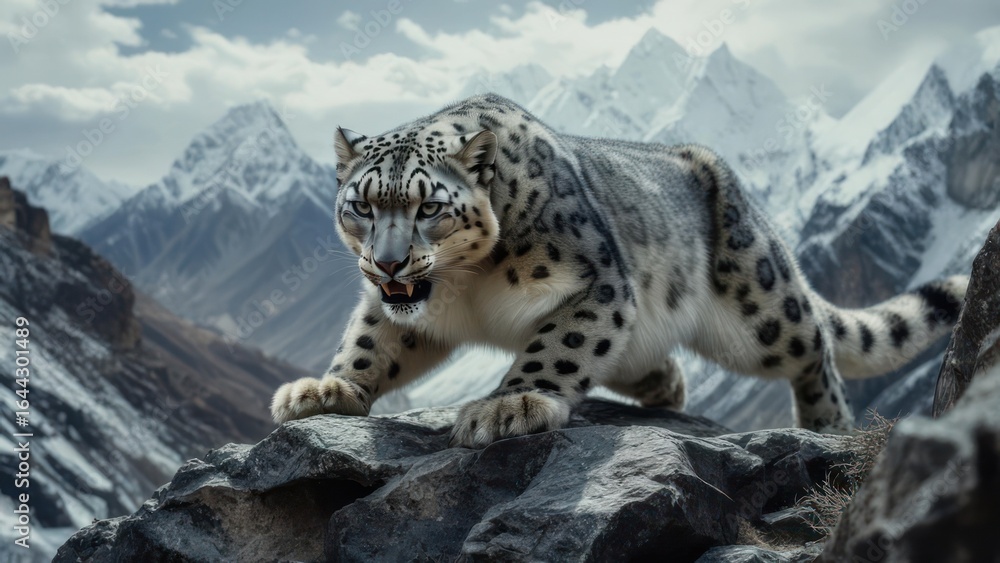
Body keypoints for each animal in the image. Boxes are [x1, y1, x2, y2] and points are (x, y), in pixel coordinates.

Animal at [270, 93, 967, 448]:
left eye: (429, 207)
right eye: (362, 205)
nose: (387, 261)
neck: (463, 287)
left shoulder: (597, 283)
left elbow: (560, 344)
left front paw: (509, 404)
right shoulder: (397, 305)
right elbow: (372, 341)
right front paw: (325, 390)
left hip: (760, 305)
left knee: (812, 346)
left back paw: (826, 424)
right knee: (662, 368)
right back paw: (661, 385)